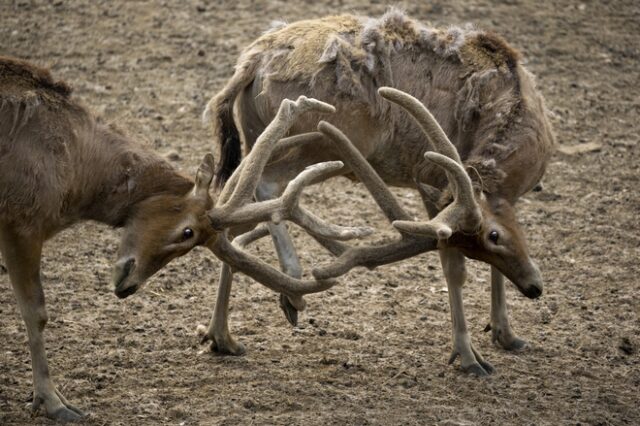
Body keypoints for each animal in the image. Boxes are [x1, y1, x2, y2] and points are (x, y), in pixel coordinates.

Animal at [0, 55, 376, 422]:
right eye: (187, 231)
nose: (127, 285)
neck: (75, 172)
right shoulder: (21, 221)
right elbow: (36, 312)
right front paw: (53, 402)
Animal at [201, 9, 556, 376]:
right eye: (494, 236)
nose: (534, 287)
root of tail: (253, 60)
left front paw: (505, 333)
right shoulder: (439, 182)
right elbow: (454, 268)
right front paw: (469, 356)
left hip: (259, 134)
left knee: (230, 205)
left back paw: (222, 336)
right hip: (322, 139)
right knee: (264, 186)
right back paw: (293, 287)